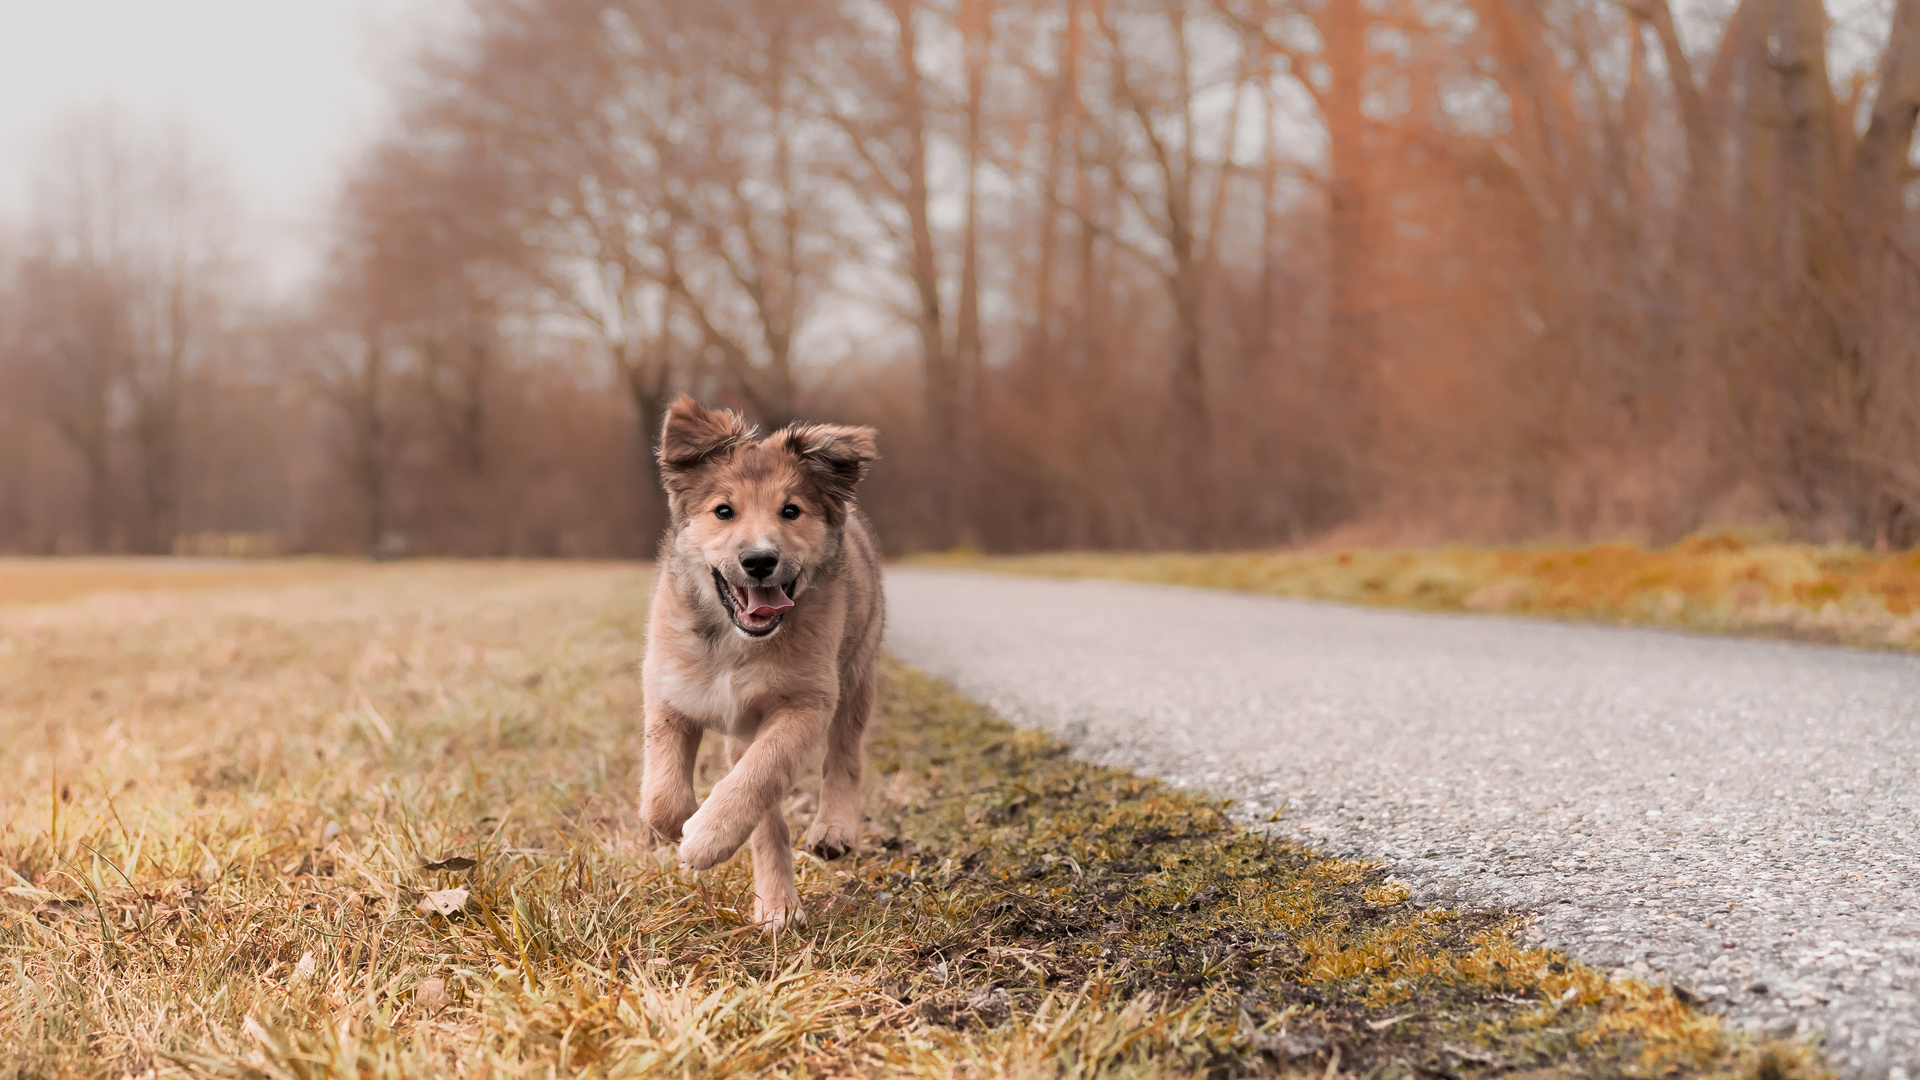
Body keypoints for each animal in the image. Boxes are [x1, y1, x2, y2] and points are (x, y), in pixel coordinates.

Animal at [641, 395, 887, 926]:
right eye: (723, 511)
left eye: (791, 511)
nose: (759, 561)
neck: (738, 643)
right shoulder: (670, 692)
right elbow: (663, 797)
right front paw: (684, 825)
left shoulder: (806, 702)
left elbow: (761, 772)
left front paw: (706, 837)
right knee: (765, 812)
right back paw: (777, 906)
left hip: (856, 671)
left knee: (844, 751)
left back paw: (832, 829)